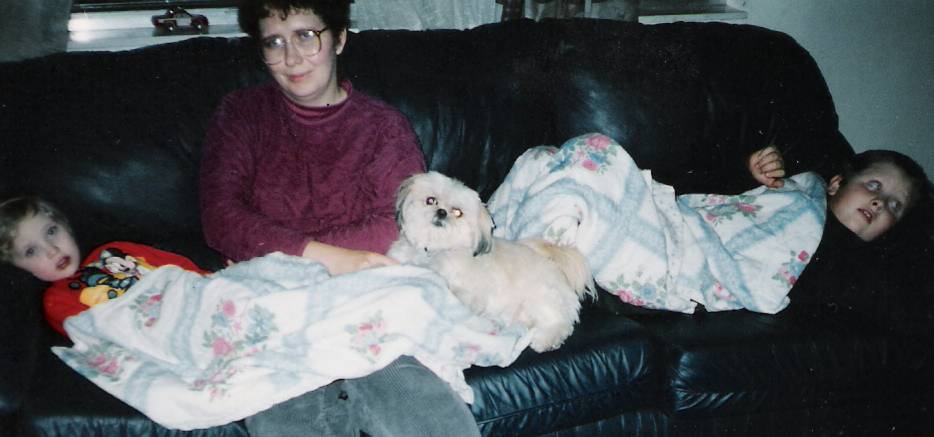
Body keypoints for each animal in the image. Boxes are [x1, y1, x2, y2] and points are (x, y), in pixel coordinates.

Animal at [386, 170, 592, 350]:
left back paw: (546, 340)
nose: (442, 212)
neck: (433, 251)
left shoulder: (471, 294)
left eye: (458, 212)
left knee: (560, 322)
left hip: (543, 296)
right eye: (431, 200)